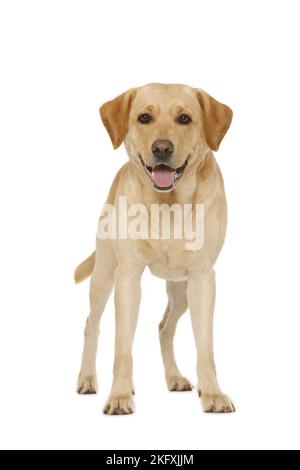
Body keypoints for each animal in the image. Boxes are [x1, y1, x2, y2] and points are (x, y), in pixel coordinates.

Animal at [75, 82, 234, 414]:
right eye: (144, 117)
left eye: (184, 118)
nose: (162, 148)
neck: (168, 204)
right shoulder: (127, 277)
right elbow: (122, 346)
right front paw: (119, 395)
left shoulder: (203, 278)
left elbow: (205, 346)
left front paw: (213, 393)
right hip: (103, 275)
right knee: (91, 324)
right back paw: (87, 378)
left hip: (182, 290)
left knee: (164, 328)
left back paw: (175, 378)